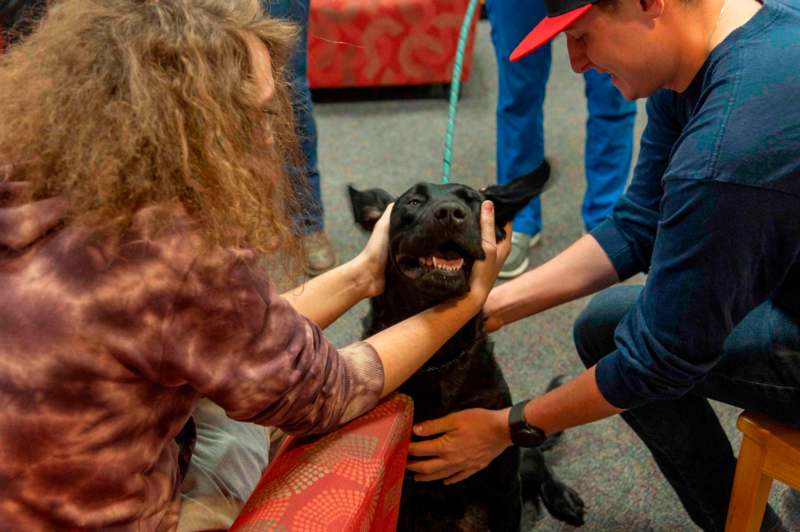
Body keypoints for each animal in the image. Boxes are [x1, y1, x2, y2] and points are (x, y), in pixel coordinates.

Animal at [346, 163, 584, 532]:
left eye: (472, 200)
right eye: (413, 201)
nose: (449, 213)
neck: (438, 354)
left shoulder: (503, 483)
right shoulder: (403, 500)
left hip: (517, 449)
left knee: (538, 462)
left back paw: (561, 497)